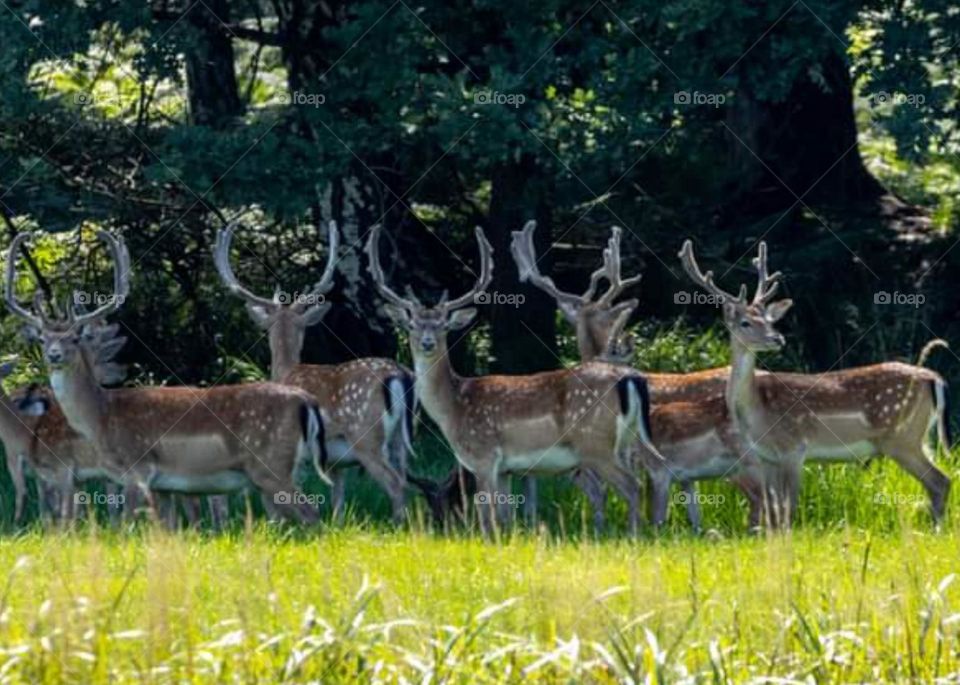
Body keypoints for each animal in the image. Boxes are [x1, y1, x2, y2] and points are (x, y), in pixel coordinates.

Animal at [5, 230, 329, 523]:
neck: (100, 418)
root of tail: (306, 401)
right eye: (43, 339)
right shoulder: (162, 484)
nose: (54, 355)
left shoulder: (137, 468)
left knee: (312, 515)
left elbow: (127, 525)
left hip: (271, 465)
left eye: (74, 338)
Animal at [214, 221, 416, 523]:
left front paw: (279, 525)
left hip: (366, 435)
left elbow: (276, 499)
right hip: (399, 440)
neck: (287, 370)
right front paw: (338, 524)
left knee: (395, 483)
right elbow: (338, 497)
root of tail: (399, 376)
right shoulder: (336, 462)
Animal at [366, 223, 665, 535]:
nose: (427, 343)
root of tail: (631, 378)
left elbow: (487, 517)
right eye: (412, 325)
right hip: (628, 440)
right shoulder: (506, 469)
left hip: (595, 443)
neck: (453, 408)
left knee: (632, 485)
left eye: (443, 326)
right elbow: (505, 516)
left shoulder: (483, 456)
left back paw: (633, 535)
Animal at [680, 239, 952, 526]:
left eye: (768, 320)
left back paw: (936, 529)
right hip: (917, 437)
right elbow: (774, 508)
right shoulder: (768, 458)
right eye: (745, 322)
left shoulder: (794, 448)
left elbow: (788, 508)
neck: (755, 413)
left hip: (901, 437)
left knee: (939, 482)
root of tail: (932, 378)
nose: (777, 338)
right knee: (938, 482)